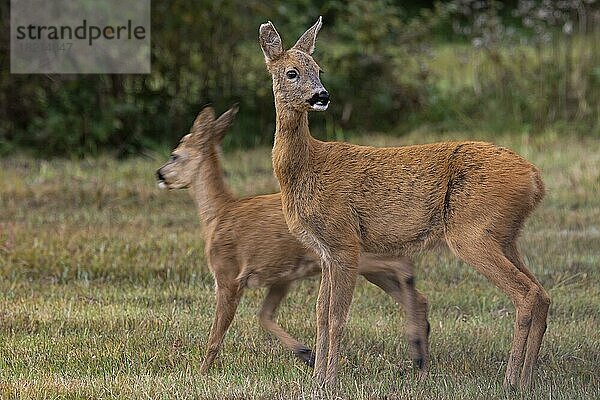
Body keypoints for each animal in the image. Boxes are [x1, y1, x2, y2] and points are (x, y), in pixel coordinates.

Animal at [157, 106, 432, 376]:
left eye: (174, 155)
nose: (159, 174)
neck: (218, 215)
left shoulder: (228, 274)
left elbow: (216, 335)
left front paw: (201, 371)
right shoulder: (281, 278)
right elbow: (264, 315)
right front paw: (307, 354)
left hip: (357, 252)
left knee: (403, 264)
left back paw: (417, 348)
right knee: (418, 296)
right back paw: (420, 356)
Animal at [258, 17, 548, 390]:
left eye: (319, 69)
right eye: (292, 72)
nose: (322, 95)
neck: (307, 167)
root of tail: (535, 179)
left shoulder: (345, 241)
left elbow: (337, 316)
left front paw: (330, 382)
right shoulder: (325, 251)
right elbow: (321, 313)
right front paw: (316, 380)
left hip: (472, 232)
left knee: (526, 293)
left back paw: (511, 379)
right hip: (505, 235)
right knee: (541, 293)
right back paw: (526, 378)